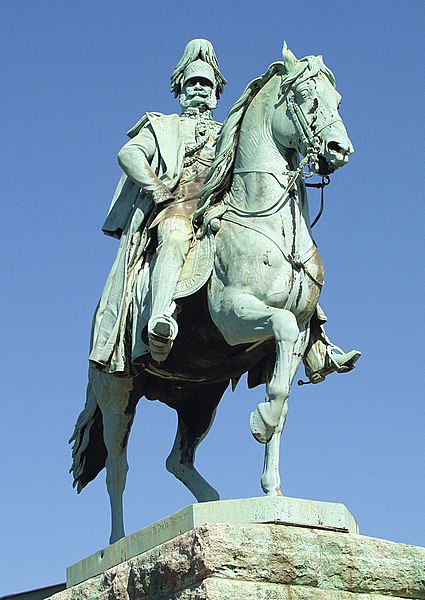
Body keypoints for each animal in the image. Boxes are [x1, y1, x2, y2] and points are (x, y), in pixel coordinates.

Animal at [70, 44, 354, 548]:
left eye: (337, 99)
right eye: (305, 95)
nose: (340, 150)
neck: (266, 222)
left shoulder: (299, 338)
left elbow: (283, 400)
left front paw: (273, 490)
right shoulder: (234, 315)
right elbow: (278, 335)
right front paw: (260, 421)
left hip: (200, 398)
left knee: (176, 459)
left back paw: (211, 503)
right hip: (116, 391)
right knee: (118, 468)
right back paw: (118, 542)